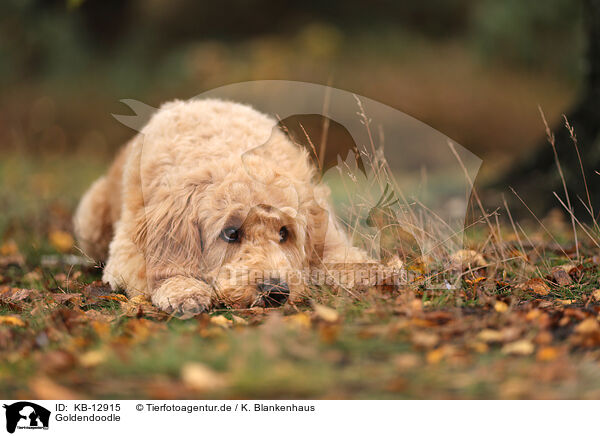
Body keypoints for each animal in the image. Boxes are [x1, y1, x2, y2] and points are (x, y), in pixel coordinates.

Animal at [74, 99, 390, 316]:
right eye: (230, 233)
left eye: (284, 232)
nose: (276, 291)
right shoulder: (129, 246)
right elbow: (161, 267)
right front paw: (184, 290)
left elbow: (337, 253)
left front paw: (370, 271)